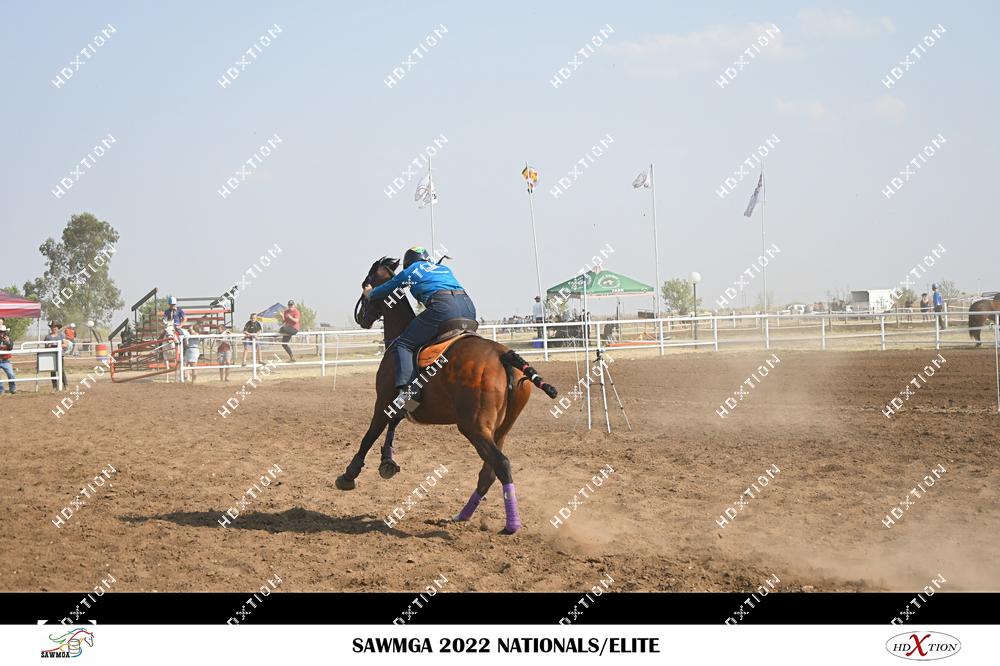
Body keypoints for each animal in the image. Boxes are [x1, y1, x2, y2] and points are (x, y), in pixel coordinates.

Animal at [334, 256, 558, 533]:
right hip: (500, 430)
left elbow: (370, 435)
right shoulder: (402, 404)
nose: (361, 317)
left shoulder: (383, 402)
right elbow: (392, 426)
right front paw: (387, 461)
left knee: (502, 465)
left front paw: (349, 474)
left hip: (474, 427)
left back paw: (511, 525)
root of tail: (503, 354)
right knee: (488, 472)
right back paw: (462, 516)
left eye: (367, 283)